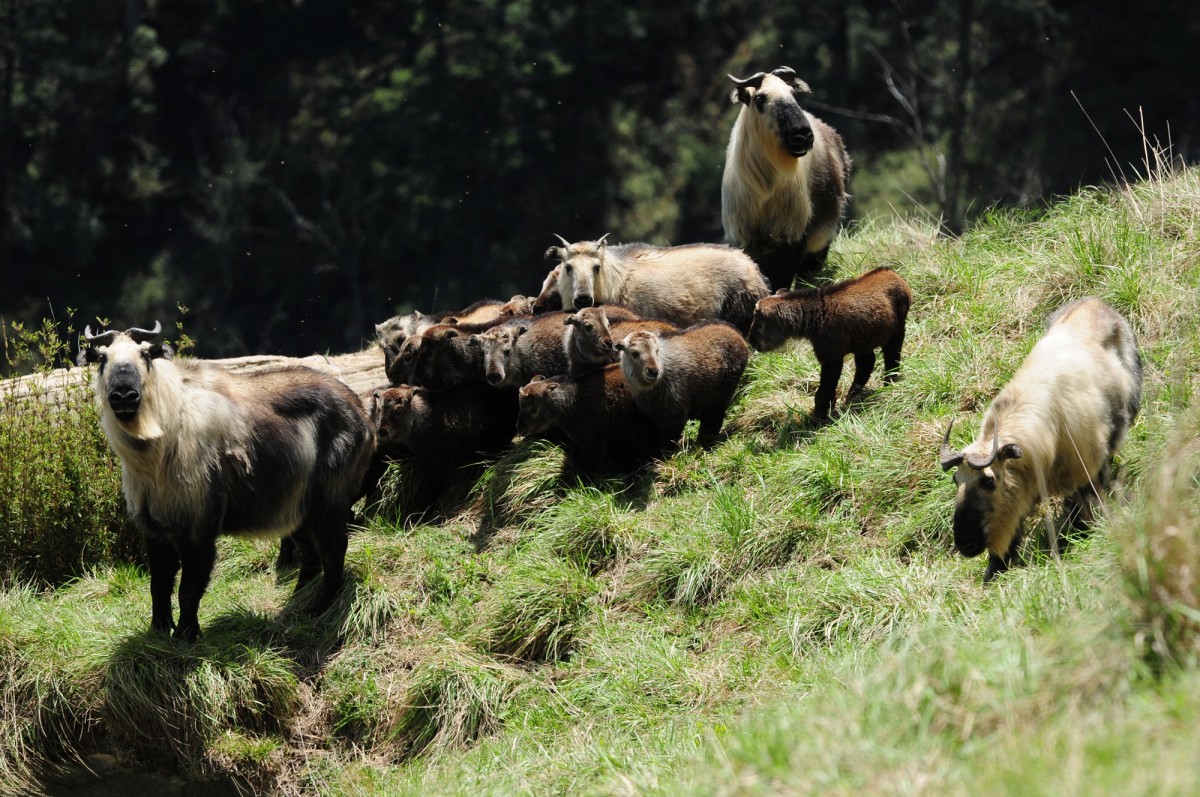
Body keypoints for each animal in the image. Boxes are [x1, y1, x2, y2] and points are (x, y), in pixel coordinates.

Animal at [511, 364, 672, 475]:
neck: (573, 401)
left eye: (534, 409)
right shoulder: (578, 440)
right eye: (520, 406)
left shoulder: (594, 439)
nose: (520, 429)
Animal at [614, 319, 744, 444]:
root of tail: (735, 331)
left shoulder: (676, 413)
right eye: (634, 353)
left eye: (657, 350)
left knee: (714, 419)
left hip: (722, 396)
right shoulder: (654, 415)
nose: (653, 371)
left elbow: (669, 442)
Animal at [748, 266, 907, 420]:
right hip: (863, 342)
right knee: (866, 364)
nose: (751, 342)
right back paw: (853, 396)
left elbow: (824, 392)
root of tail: (892, 273)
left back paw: (889, 383)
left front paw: (819, 418)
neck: (817, 315)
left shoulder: (831, 357)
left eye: (760, 323)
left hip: (897, 331)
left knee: (892, 357)